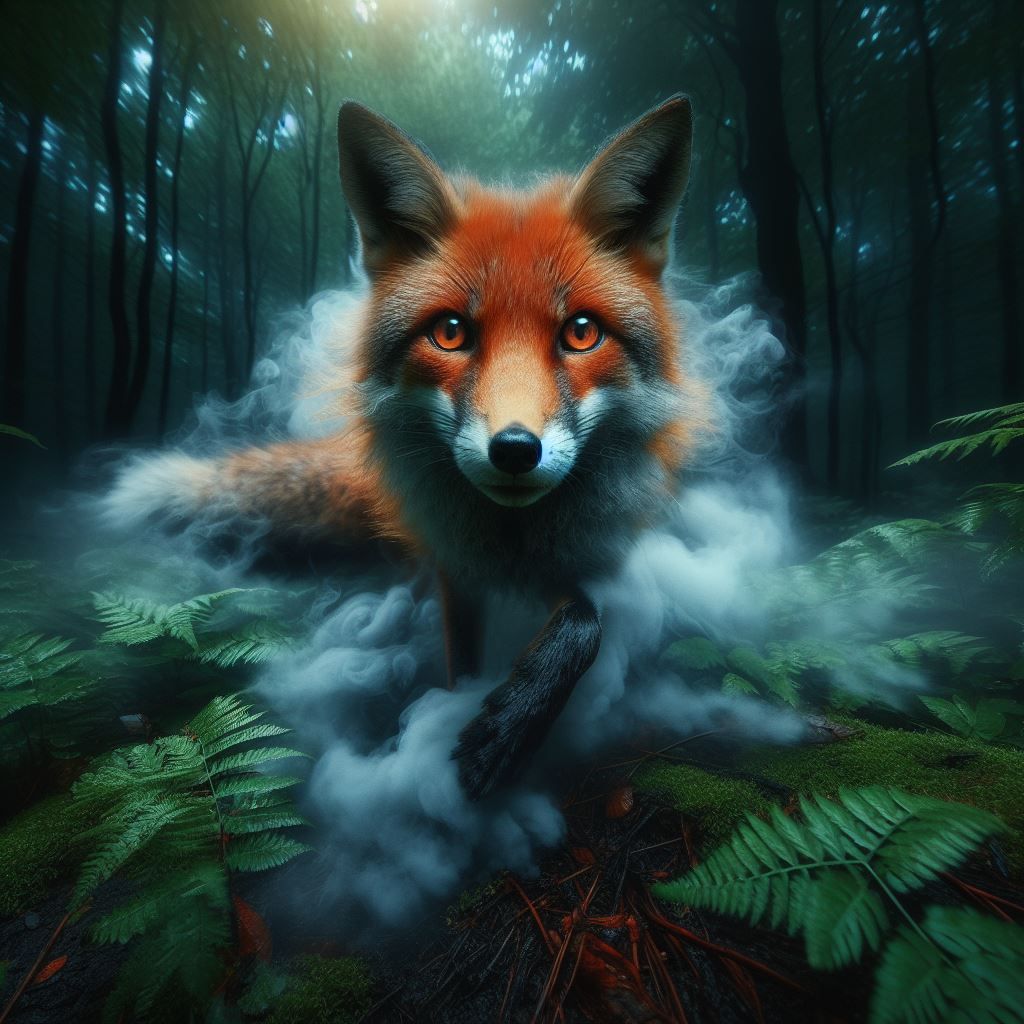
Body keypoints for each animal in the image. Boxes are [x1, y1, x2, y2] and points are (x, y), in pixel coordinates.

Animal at [108, 95, 706, 800]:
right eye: (450, 333)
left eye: (581, 333)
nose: (514, 449)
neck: (510, 538)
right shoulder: (457, 573)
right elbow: (463, 661)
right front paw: (462, 713)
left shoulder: (583, 557)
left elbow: (586, 625)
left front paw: (510, 725)